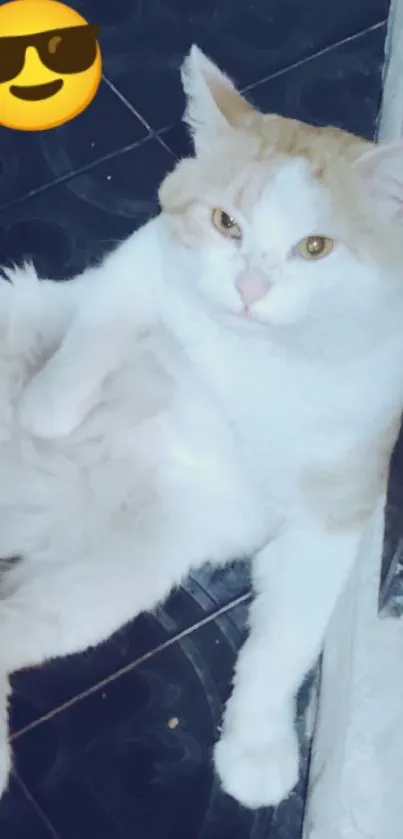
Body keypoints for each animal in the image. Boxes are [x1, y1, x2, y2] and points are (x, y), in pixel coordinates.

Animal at [0, 47, 403, 812]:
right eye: (225, 223)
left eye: (315, 248)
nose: (248, 290)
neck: (251, 356)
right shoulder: (139, 258)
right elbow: (100, 322)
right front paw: (50, 406)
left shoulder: (329, 518)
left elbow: (283, 642)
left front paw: (257, 747)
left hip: (101, 589)